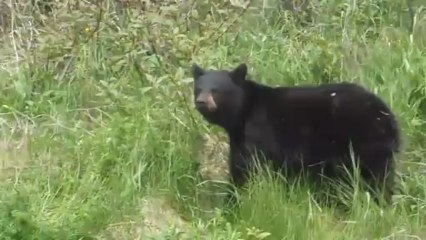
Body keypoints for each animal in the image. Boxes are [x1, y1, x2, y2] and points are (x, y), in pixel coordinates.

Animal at [191, 62, 402, 206]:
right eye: (198, 88)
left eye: (216, 90)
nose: (201, 101)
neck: (242, 114)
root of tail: (389, 118)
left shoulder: (258, 131)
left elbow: (246, 167)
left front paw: (232, 201)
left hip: (364, 141)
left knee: (375, 178)